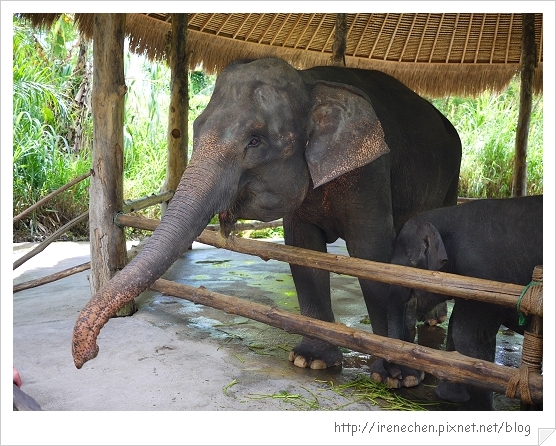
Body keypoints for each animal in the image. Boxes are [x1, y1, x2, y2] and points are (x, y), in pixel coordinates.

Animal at [70, 57, 460, 388]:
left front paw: (399, 377)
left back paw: (430, 319)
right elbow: (303, 252)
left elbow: (372, 256)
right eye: (195, 127)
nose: (88, 357)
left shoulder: (370, 173)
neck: (308, 82)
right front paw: (311, 361)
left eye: (255, 141)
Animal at [386, 195, 544, 412]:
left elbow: (468, 335)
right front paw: (451, 396)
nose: (396, 377)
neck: (448, 213)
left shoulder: (480, 277)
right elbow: (456, 327)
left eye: (402, 267)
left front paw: (479, 407)